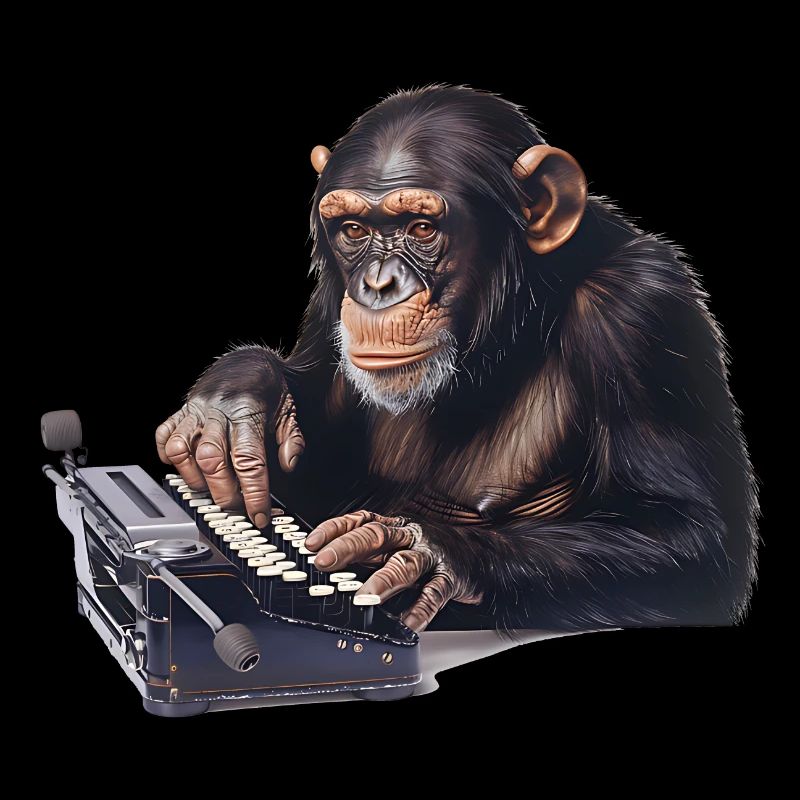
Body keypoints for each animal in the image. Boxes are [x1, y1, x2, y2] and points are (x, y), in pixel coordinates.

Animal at [156, 85, 758, 633]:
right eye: (353, 230)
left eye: (422, 228)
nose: (376, 285)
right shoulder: (330, 300)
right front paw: (230, 407)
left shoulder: (642, 308)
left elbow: (692, 538)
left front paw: (427, 550)